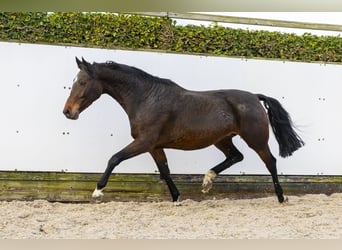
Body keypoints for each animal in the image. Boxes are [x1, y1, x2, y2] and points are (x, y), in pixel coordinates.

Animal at [62, 57, 304, 204]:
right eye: (73, 81)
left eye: (82, 82)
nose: (67, 112)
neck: (146, 98)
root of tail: (255, 96)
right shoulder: (154, 146)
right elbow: (165, 171)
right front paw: (177, 198)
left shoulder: (144, 142)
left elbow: (114, 158)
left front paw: (97, 191)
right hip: (223, 139)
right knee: (236, 156)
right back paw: (207, 182)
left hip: (256, 139)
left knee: (270, 162)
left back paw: (281, 197)